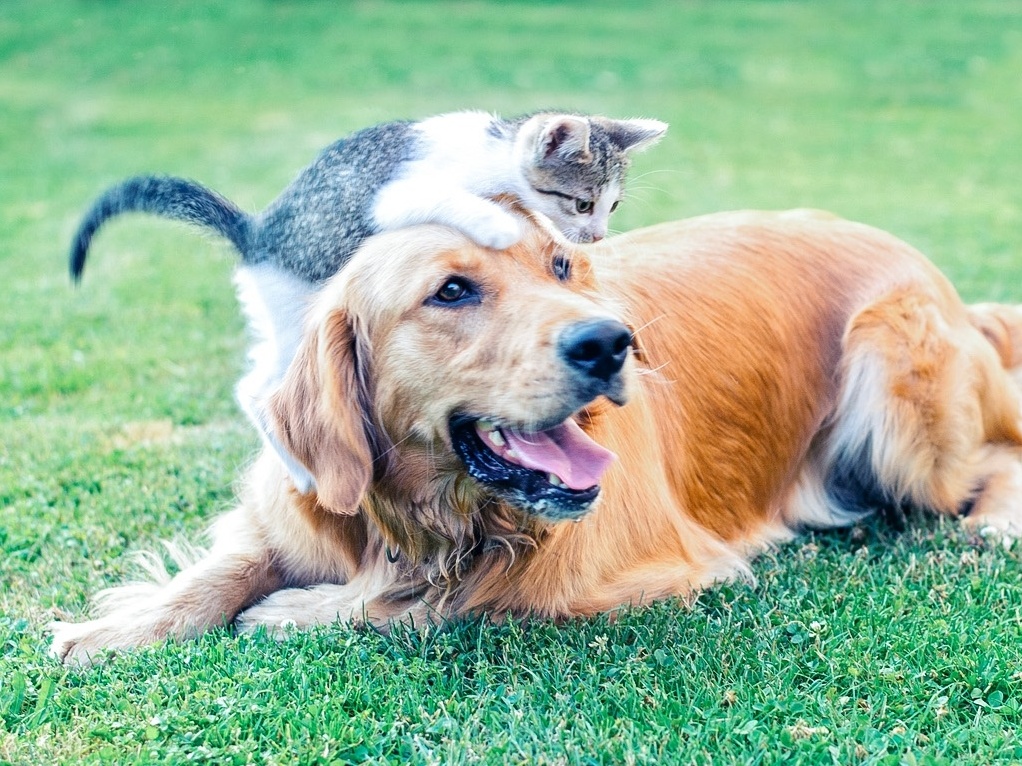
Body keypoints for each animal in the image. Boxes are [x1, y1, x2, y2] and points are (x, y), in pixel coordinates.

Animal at [49, 207, 1021, 661]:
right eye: (451, 290)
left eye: (561, 266)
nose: (609, 343)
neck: (430, 518)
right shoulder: (295, 502)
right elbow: (223, 567)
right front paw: (118, 625)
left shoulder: (633, 569)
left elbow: (453, 601)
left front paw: (295, 612)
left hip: (897, 400)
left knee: (995, 454)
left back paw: (994, 522)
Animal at [70, 110, 662, 488]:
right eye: (583, 202)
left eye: (611, 206)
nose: (597, 235)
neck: (492, 153)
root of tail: (257, 233)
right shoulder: (396, 194)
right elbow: (452, 202)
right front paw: (495, 224)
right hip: (296, 309)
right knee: (261, 391)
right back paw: (301, 471)